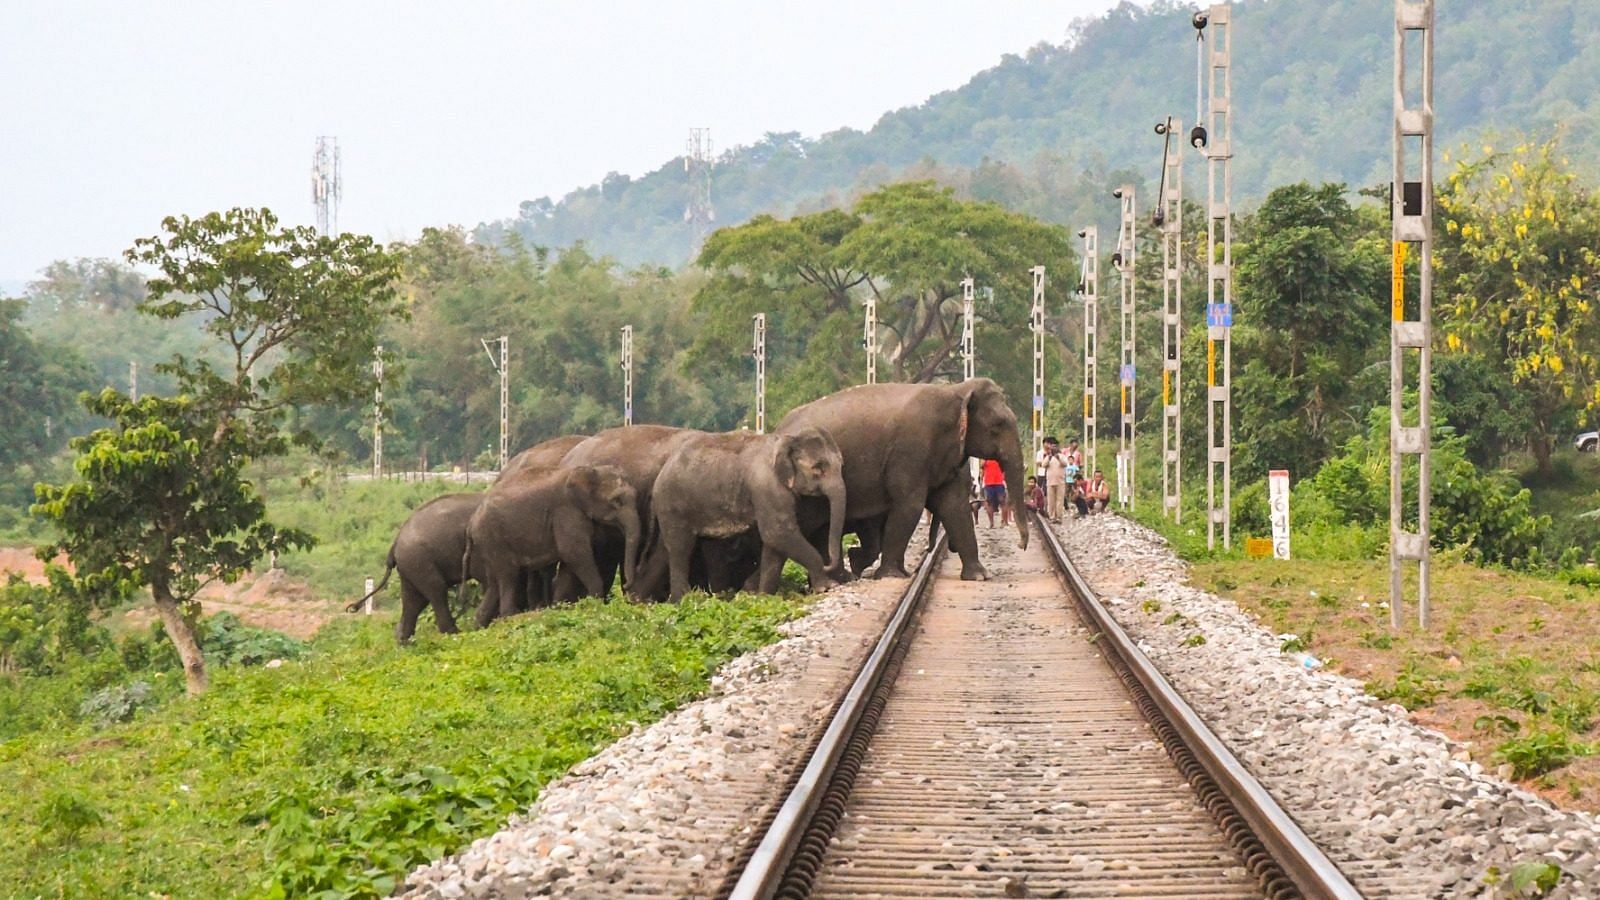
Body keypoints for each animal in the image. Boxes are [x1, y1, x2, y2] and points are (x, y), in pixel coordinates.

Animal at [356, 493, 486, 640]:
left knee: (414, 601)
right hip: (418, 561)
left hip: (411, 565)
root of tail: (394, 544)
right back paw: (455, 635)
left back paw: (405, 641)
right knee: (436, 590)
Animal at [464, 461, 636, 624]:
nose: (626, 586)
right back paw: (511, 616)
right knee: (509, 576)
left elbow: (572, 558)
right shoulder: (566, 511)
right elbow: (573, 552)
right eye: (616, 501)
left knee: (494, 583)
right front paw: (596, 604)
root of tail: (471, 523)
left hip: (488, 544)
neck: (590, 470)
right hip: (493, 540)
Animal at [649, 422, 851, 598]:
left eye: (841, 465)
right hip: (671, 506)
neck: (784, 440)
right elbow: (777, 532)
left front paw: (764, 596)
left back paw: (717, 596)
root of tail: (664, 469)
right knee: (680, 548)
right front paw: (827, 587)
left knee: (710, 547)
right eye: (818, 468)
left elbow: (774, 542)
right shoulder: (766, 486)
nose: (828, 565)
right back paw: (683, 600)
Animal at [780, 374, 1030, 576]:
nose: (1021, 546)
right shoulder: (910, 450)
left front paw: (980, 576)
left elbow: (954, 505)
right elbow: (910, 504)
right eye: (997, 425)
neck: (956, 390)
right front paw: (892, 575)